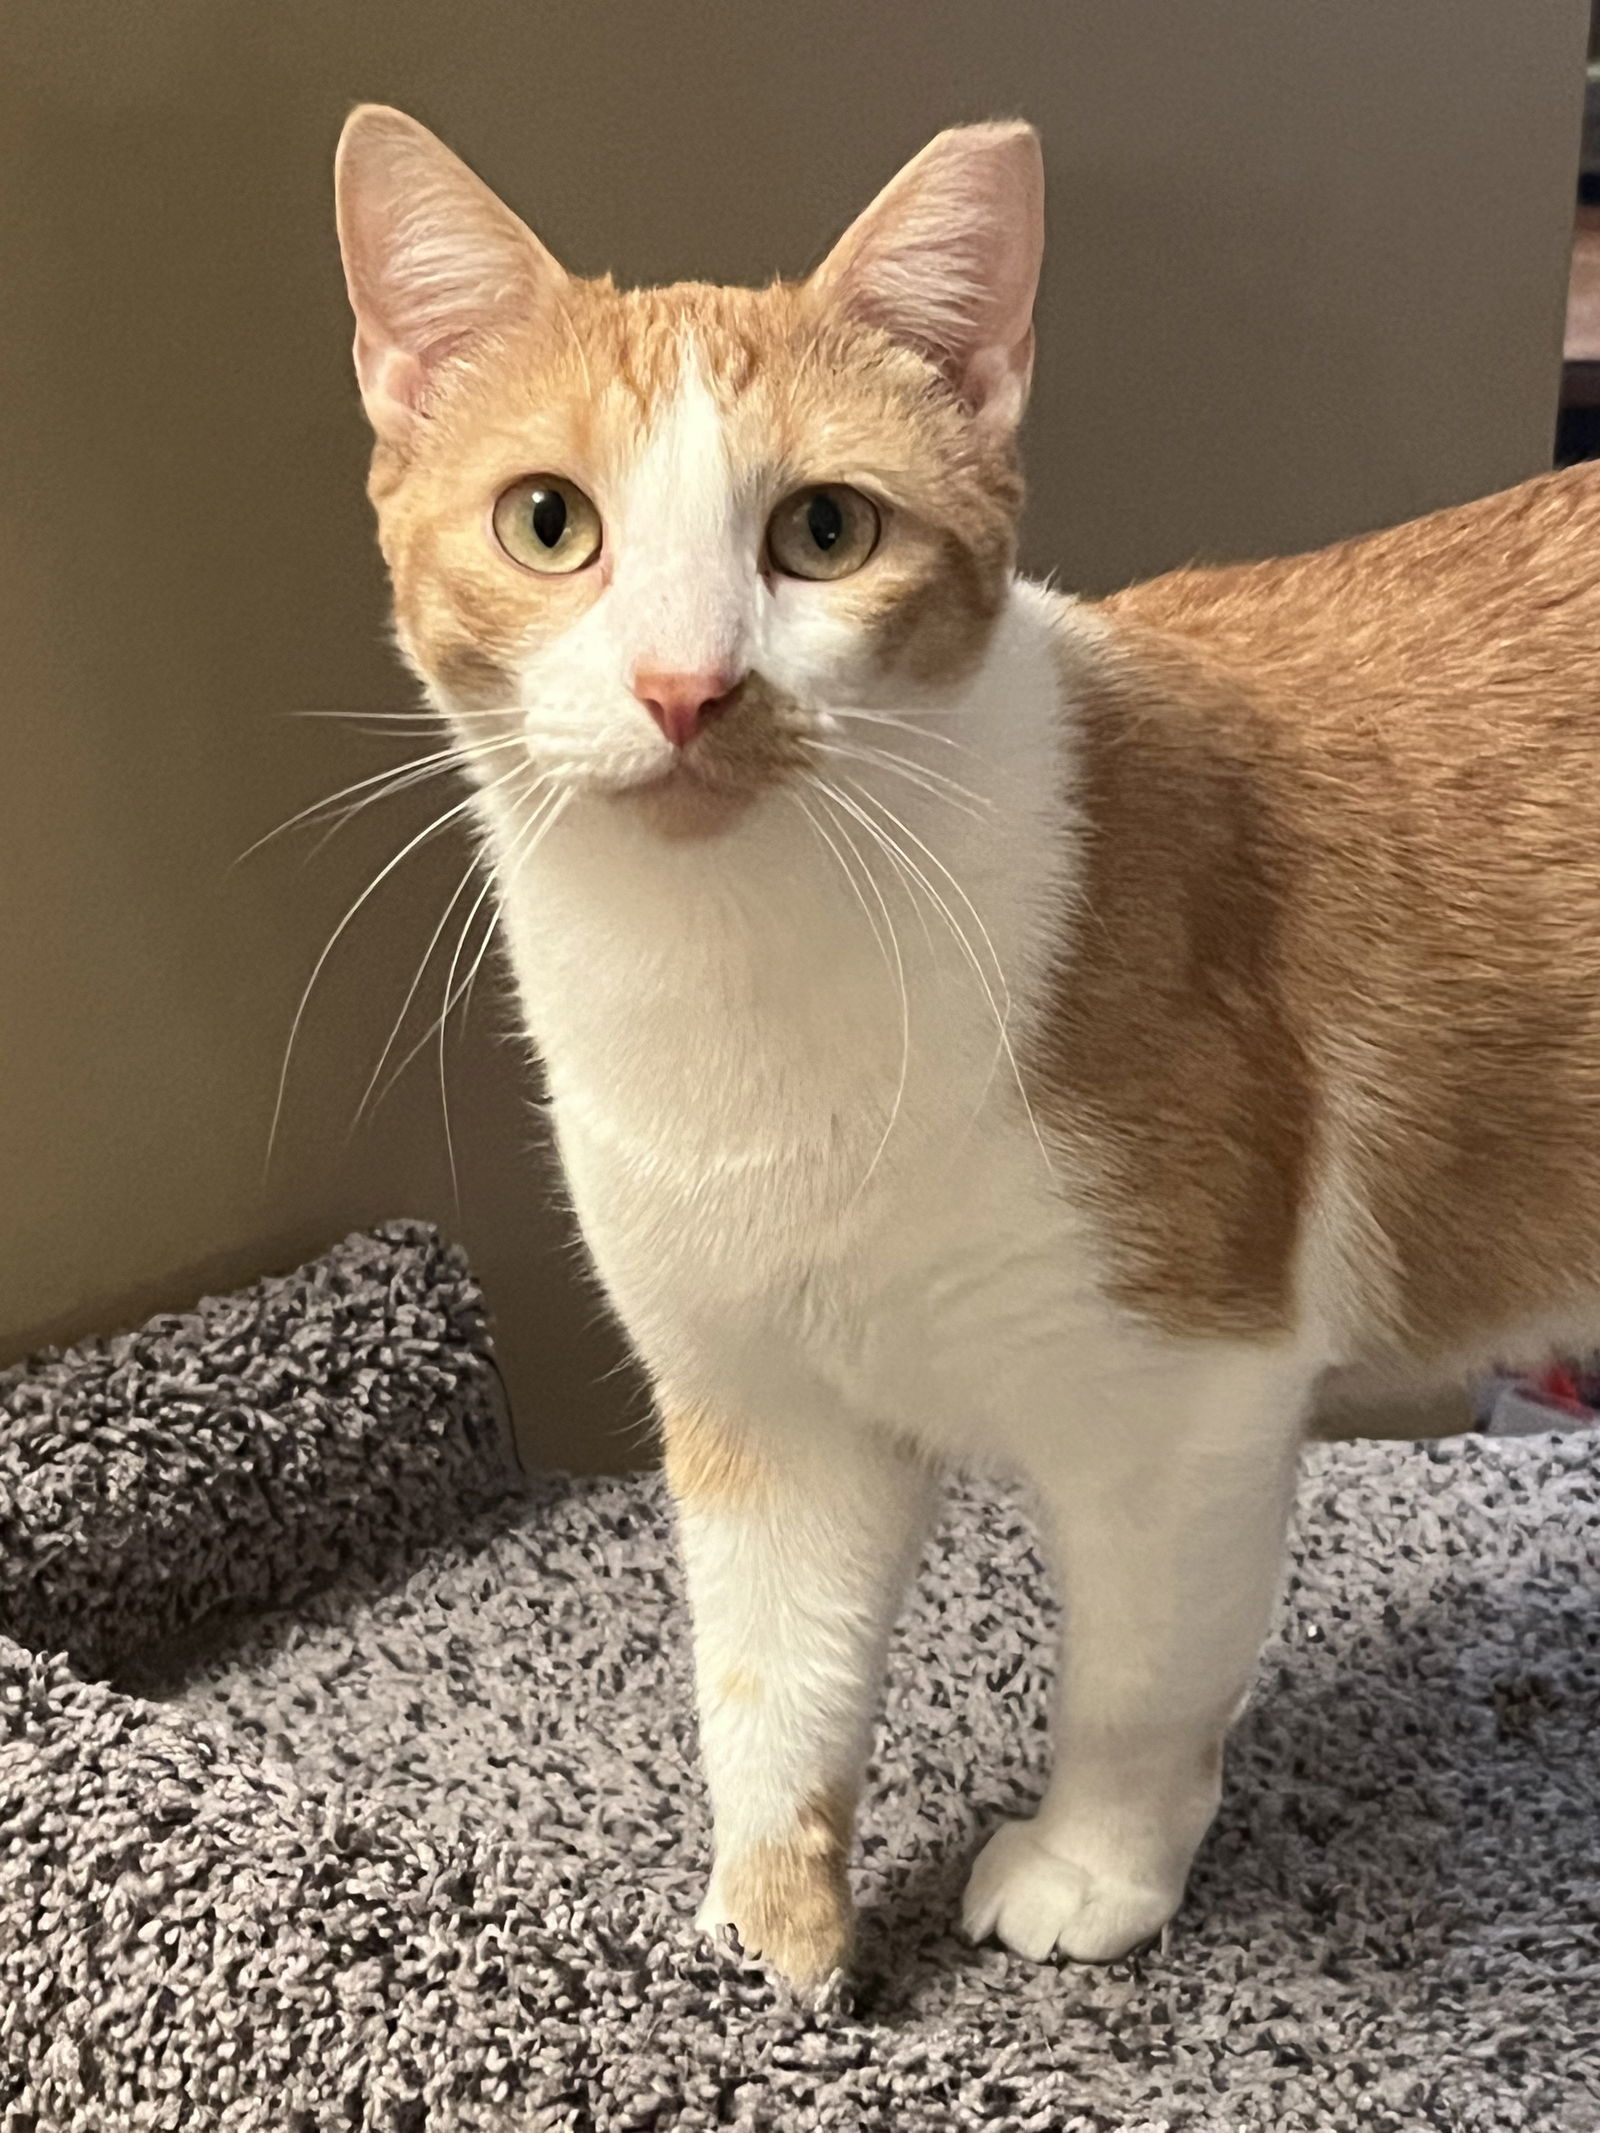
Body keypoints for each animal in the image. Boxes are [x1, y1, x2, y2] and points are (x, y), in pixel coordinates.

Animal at [332, 108, 1600, 1987]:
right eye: (549, 522)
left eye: (826, 530)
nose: (686, 688)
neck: (744, 987)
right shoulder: (759, 1410)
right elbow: (768, 1686)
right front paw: (771, 1934)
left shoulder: (1187, 1404)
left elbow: (1139, 1684)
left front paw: (1092, 1867)